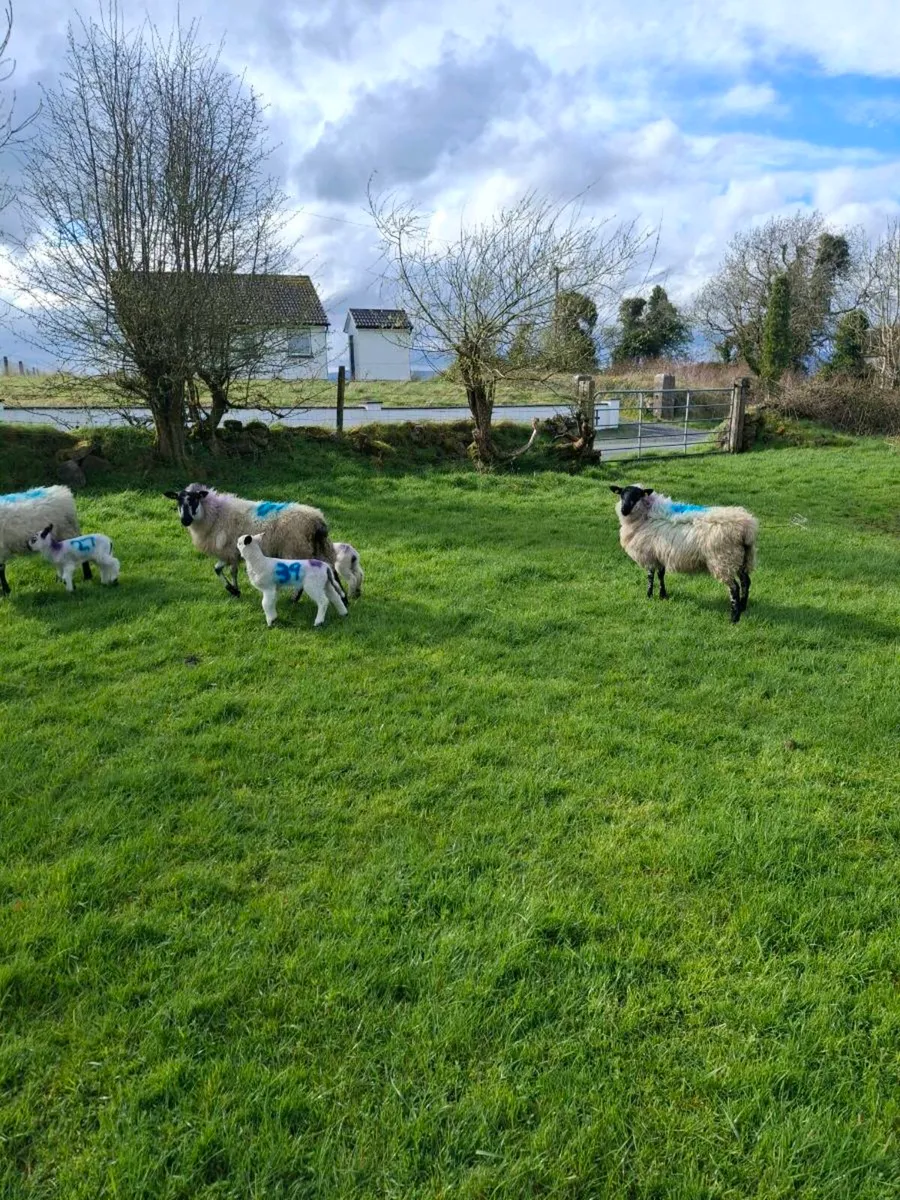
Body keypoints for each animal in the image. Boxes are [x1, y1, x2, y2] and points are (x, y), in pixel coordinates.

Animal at [163, 483, 336, 597]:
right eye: (178, 501)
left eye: (195, 499)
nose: (185, 520)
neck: (215, 514)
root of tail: (317, 520)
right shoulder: (228, 553)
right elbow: (217, 569)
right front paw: (232, 589)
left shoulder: (230, 550)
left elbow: (232, 572)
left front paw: (235, 589)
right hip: (319, 549)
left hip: (296, 549)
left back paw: (294, 598)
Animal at [610, 484, 758, 623]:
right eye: (621, 494)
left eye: (637, 496)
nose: (624, 510)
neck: (645, 516)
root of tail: (746, 529)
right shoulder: (659, 553)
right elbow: (661, 574)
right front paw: (663, 595)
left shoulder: (649, 555)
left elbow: (650, 576)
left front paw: (649, 595)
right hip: (742, 558)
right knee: (746, 581)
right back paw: (743, 607)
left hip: (723, 560)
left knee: (734, 588)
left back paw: (734, 617)